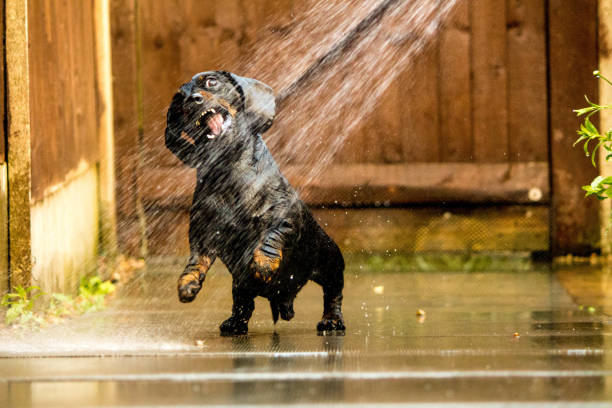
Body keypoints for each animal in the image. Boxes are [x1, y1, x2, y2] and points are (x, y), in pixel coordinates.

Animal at [164, 71, 344, 334]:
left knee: (333, 292)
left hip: (330, 261)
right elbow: (197, 258)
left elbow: (272, 235)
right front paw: (188, 282)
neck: (228, 169)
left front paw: (264, 263)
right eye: (179, 98)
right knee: (243, 303)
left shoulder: (285, 216)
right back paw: (235, 323)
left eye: (211, 82)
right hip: (240, 284)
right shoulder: (203, 231)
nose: (192, 100)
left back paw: (332, 319)